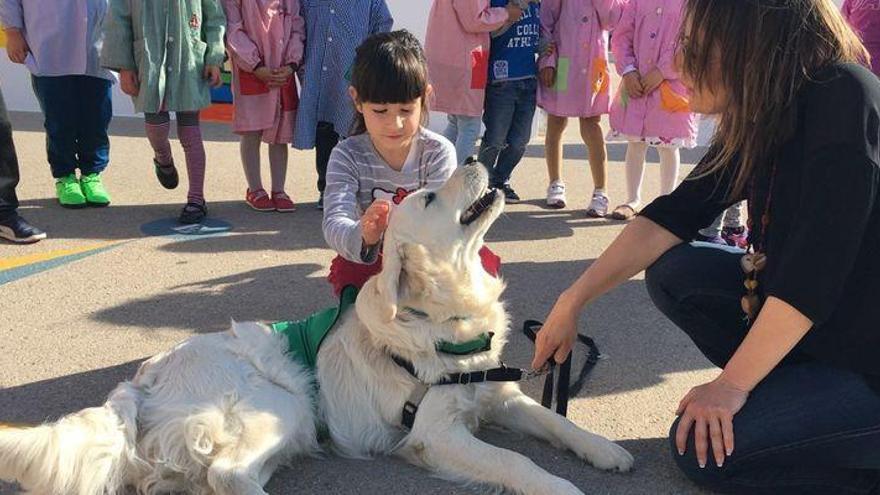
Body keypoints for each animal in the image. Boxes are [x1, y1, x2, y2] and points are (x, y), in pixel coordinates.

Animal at [0, 165, 632, 494]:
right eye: (431, 195)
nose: (478, 157)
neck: (446, 314)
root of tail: (142, 382)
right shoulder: (435, 433)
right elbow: (516, 462)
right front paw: (564, 489)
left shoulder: (499, 394)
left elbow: (557, 422)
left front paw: (605, 450)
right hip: (285, 404)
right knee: (228, 474)